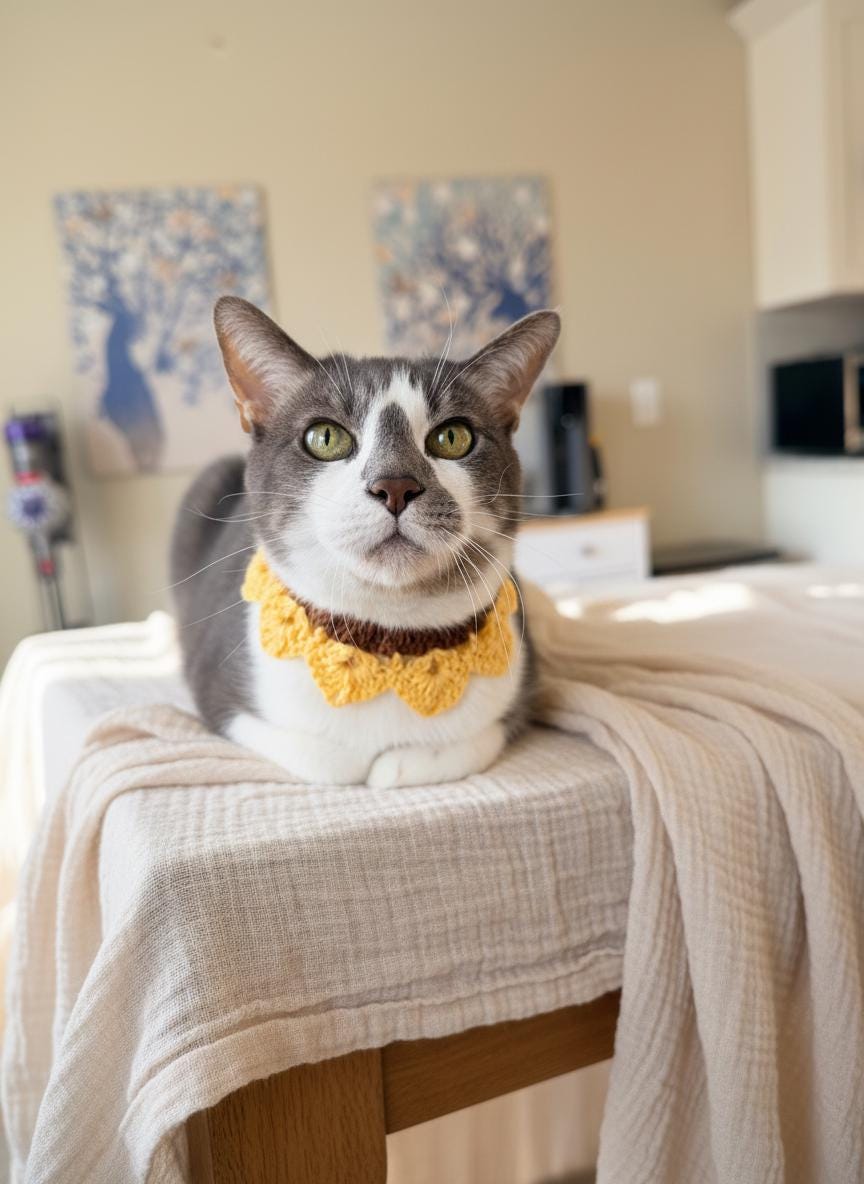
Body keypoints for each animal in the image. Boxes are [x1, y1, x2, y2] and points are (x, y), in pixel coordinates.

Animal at [171, 297, 560, 789]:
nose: (395, 485)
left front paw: (397, 763)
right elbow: (331, 762)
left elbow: (458, 746)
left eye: (453, 437)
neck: (388, 640)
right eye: (325, 437)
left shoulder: (524, 685)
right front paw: (358, 760)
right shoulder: (217, 692)